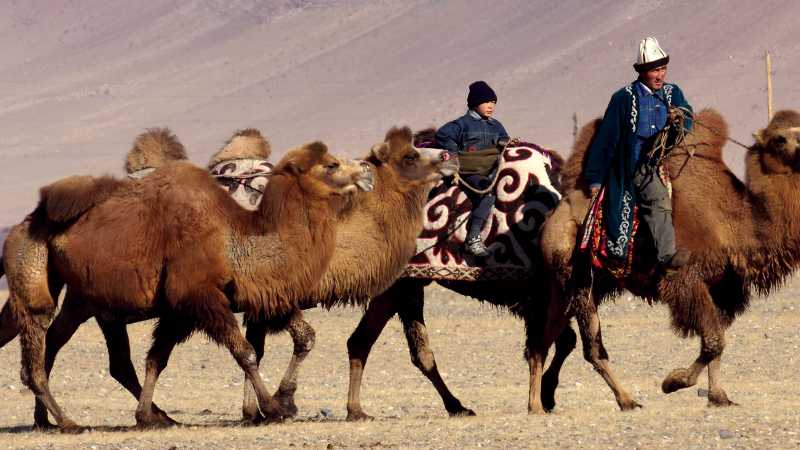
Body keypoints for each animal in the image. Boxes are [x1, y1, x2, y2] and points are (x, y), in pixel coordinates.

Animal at [1, 126, 457, 428]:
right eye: (411, 156)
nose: (447, 161)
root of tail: (25, 222)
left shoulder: (206, 303)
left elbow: (160, 356)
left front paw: (152, 414)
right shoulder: (210, 297)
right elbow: (253, 350)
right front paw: (275, 406)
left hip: (82, 297)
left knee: (59, 346)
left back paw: (58, 419)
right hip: (42, 278)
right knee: (45, 341)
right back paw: (66, 421)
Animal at [534, 109, 800, 410]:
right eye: (780, 139)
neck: (734, 223)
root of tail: (551, 220)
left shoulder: (724, 289)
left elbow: (715, 343)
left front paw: (719, 397)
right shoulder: (686, 280)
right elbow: (713, 341)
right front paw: (674, 382)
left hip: (577, 284)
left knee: (549, 337)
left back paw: (542, 399)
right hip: (577, 278)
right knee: (589, 347)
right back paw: (624, 400)